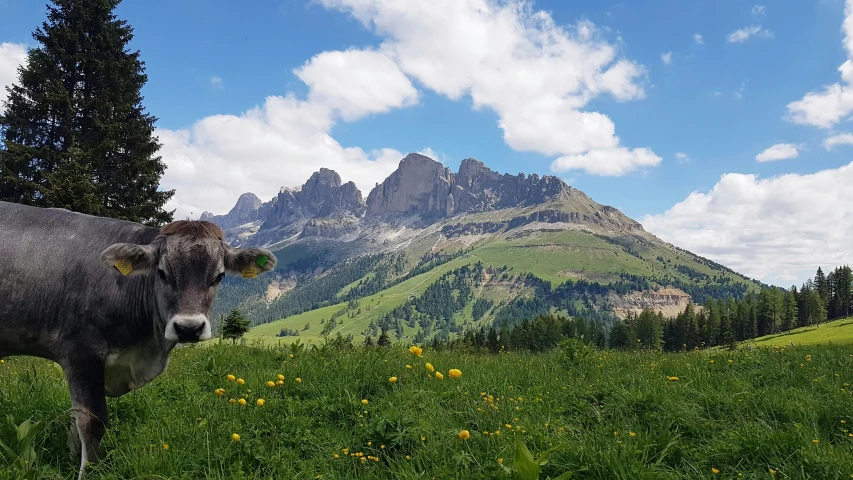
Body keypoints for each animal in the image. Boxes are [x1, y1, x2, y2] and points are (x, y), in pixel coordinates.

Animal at [0, 201, 274, 478]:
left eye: (218, 276)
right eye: (162, 273)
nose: (189, 328)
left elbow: (76, 417)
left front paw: (71, 456)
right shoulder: (80, 352)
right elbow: (91, 421)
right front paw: (88, 470)